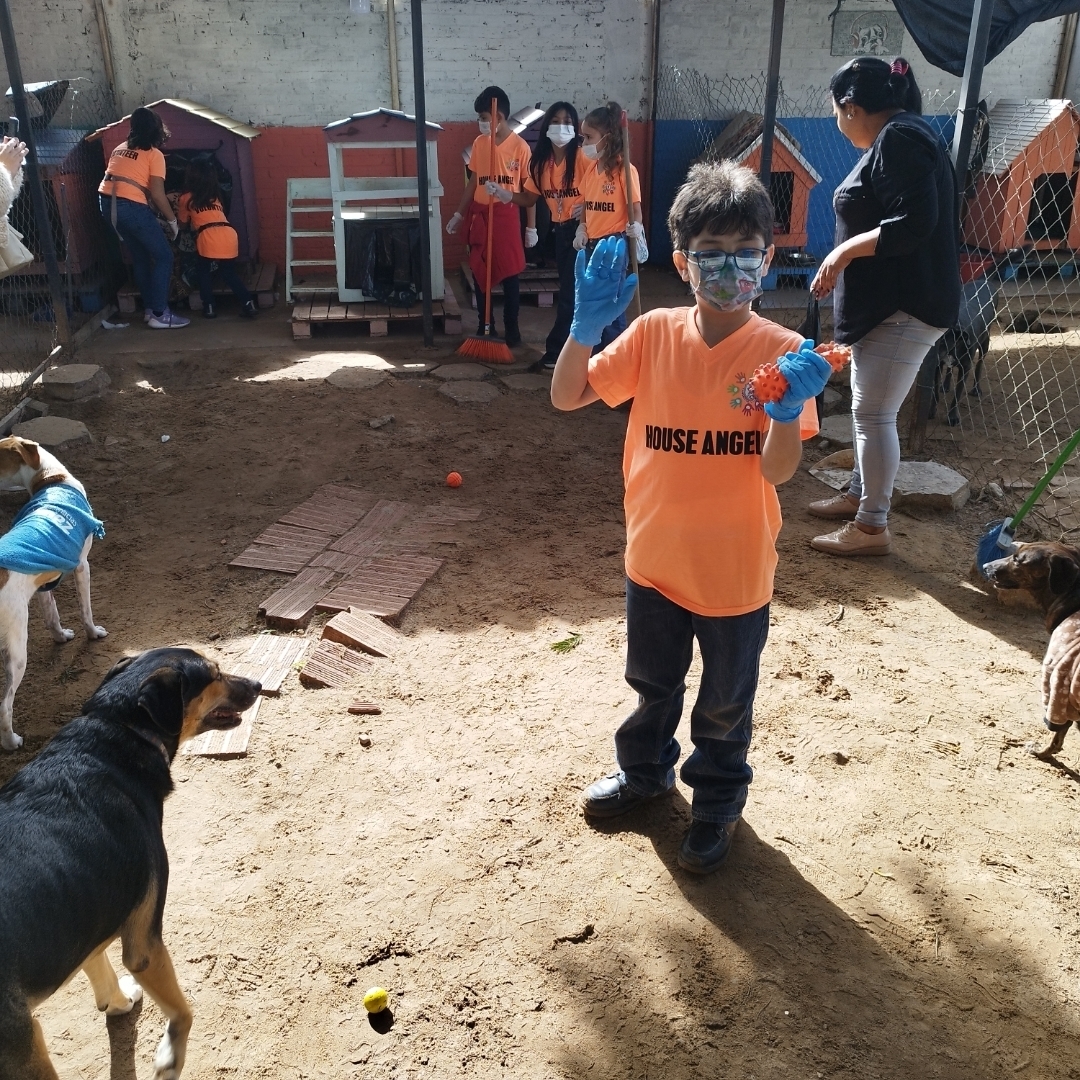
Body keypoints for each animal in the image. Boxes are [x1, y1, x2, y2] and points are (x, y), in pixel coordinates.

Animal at [0, 435, 108, 751]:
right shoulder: (82, 566)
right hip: (16, 651)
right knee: (4, 705)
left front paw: (61, 638)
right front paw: (93, 634)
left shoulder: (42, 585)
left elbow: (53, 616)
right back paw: (11, 741)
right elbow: (86, 611)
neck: (50, 479)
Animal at [0, 646, 260, 1079]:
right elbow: (183, 1011)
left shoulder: (90, 912)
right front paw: (171, 1055)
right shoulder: (145, 943)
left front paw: (118, 1002)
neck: (121, 729)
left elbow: (98, 964)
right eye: (213, 674)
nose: (257, 684)